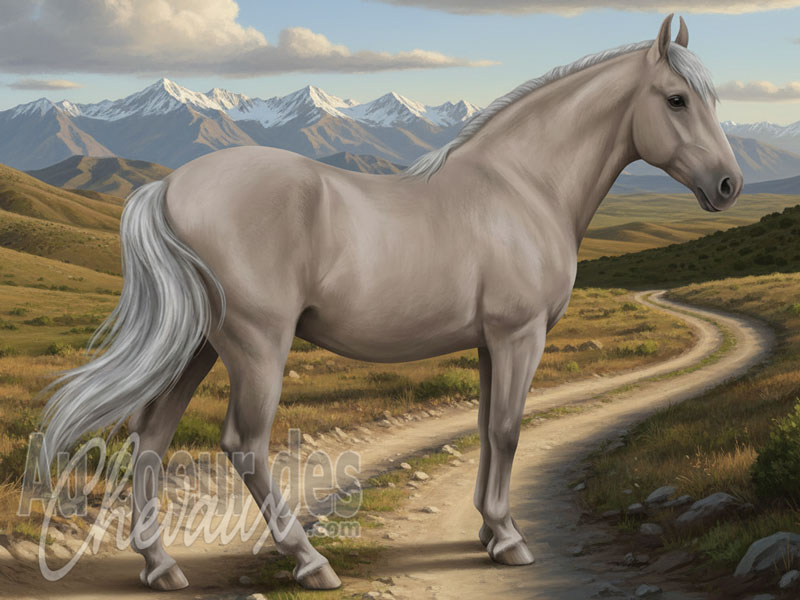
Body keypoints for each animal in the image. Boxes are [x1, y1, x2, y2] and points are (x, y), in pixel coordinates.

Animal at [39, 14, 742, 591]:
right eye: (676, 99)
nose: (729, 185)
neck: (523, 187)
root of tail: (168, 187)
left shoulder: (491, 344)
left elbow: (486, 427)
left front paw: (490, 533)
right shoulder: (520, 337)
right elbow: (509, 430)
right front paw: (511, 541)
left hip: (200, 345)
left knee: (150, 434)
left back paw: (161, 567)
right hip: (255, 344)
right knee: (245, 443)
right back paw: (311, 563)